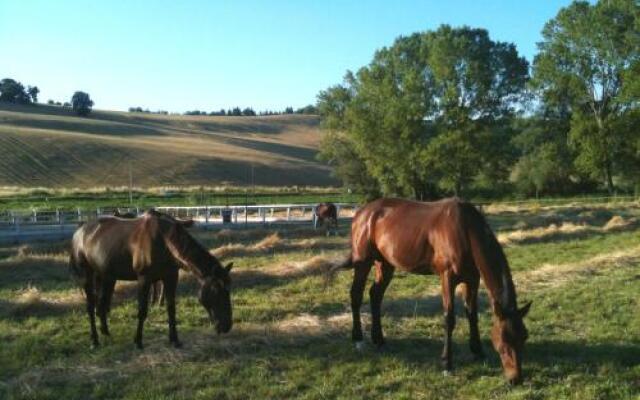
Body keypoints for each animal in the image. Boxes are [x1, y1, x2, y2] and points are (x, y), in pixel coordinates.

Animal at [71, 208, 234, 348]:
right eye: (217, 292)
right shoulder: (144, 279)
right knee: (91, 306)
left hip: (106, 276)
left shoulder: (171, 277)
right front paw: (138, 341)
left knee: (101, 302)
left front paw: (174, 339)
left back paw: (105, 332)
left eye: (228, 291)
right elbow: (142, 310)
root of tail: (80, 231)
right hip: (87, 275)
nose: (227, 326)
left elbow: (171, 308)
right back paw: (94, 340)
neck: (164, 241)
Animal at [330, 197, 528, 384]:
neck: (465, 229)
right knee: (356, 294)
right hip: (363, 262)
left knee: (375, 295)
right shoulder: (447, 278)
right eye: (504, 342)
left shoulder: (472, 279)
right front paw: (447, 364)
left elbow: (472, 314)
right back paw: (358, 340)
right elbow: (449, 319)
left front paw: (477, 351)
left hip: (385, 263)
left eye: (524, 337)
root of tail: (362, 213)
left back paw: (379, 340)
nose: (516, 379)